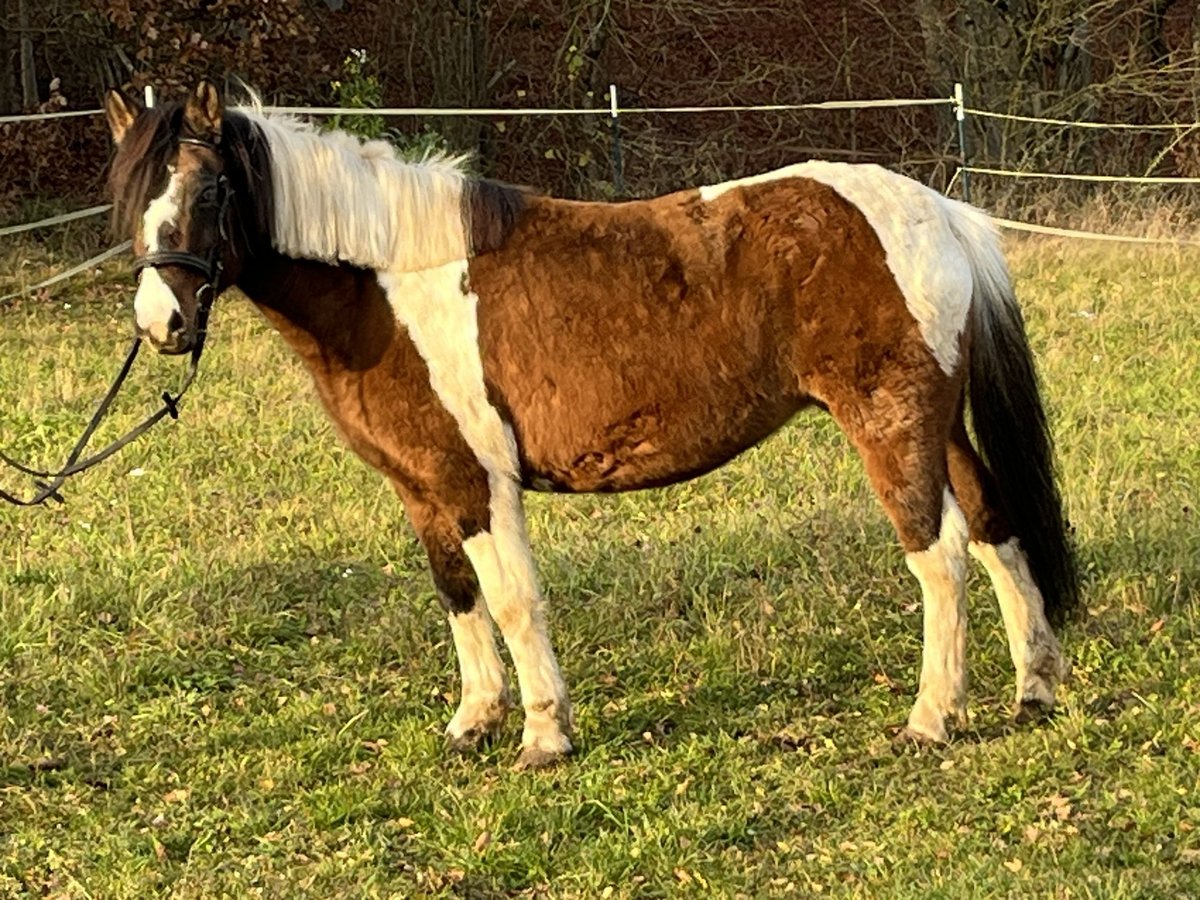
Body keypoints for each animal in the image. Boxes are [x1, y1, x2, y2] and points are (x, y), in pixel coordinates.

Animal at [103, 82, 1077, 769]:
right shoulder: (422, 487)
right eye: (128, 202)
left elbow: (512, 599)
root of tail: (940, 212)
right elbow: (457, 596)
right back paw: (1034, 687)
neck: (389, 282)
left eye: (210, 191)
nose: (163, 324)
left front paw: (544, 736)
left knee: (939, 556)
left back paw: (931, 717)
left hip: (891, 427)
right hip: (940, 426)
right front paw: (474, 721)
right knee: (994, 528)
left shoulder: (478, 482)